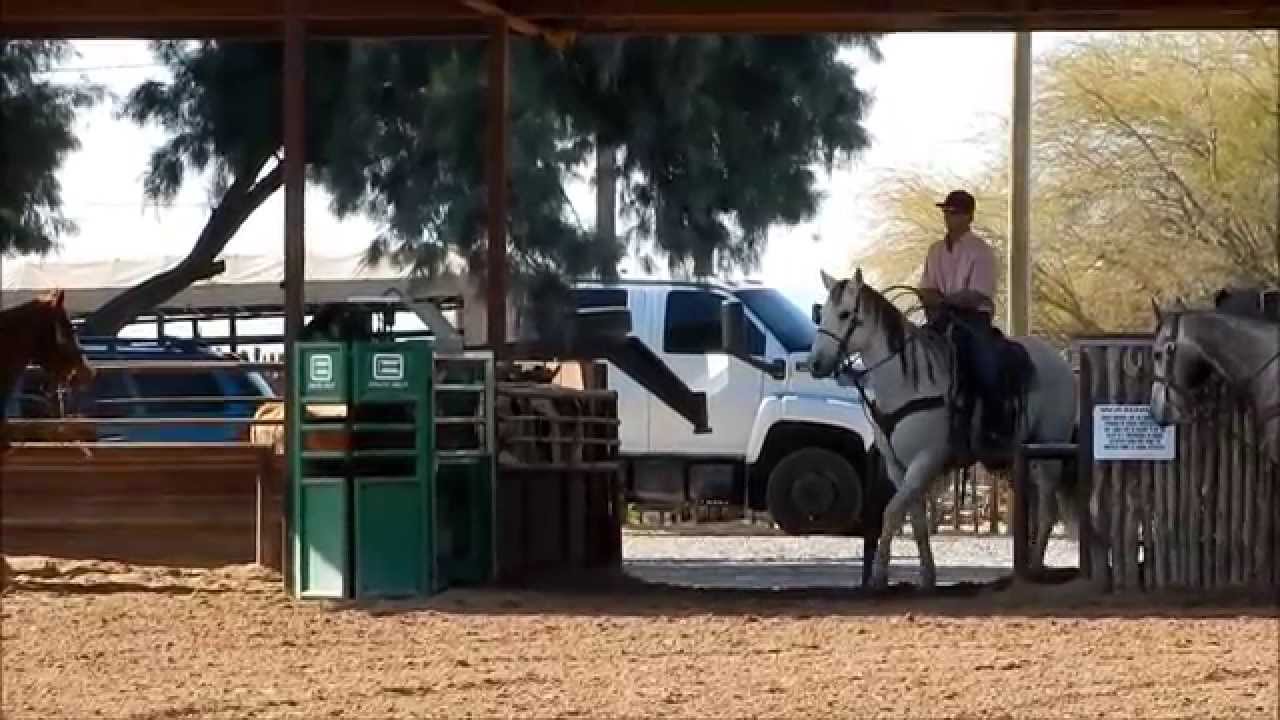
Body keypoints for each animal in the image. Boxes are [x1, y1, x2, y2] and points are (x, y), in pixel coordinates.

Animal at [808, 269, 1079, 591]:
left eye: (845, 313)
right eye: (822, 312)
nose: (814, 363)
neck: (905, 383)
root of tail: (1060, 362)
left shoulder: (926, 459)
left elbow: (892, 512)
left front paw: (878, 577)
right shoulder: (897, 467)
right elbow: (916, 520)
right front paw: (927, 577)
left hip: (1050, 450)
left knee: (1048, 510)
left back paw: (1036, 569)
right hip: (1018, 460)